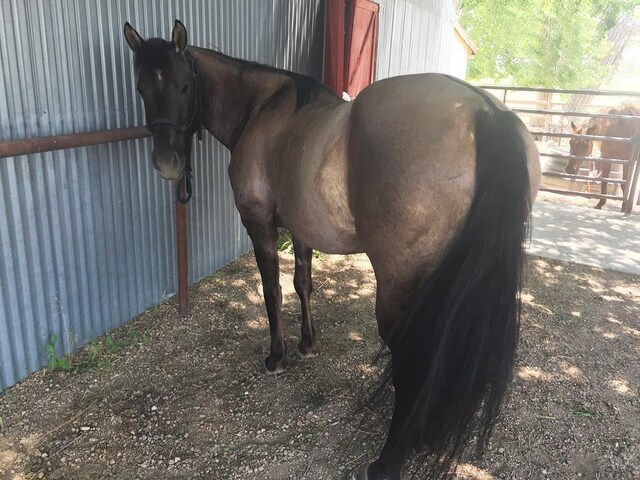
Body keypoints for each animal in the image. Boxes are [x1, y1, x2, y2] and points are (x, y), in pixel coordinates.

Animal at [124, 19, 540, 480]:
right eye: (141, 88)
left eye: (183, 85)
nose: (167, 164)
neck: (261, 107)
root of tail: (484, 113)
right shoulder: (301, 227)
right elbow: (303, 283)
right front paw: (307, 344)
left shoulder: (259, 223)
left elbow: (272, 290)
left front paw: (277, 356)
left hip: (400, 287)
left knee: (413, 354)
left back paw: (388, 461)